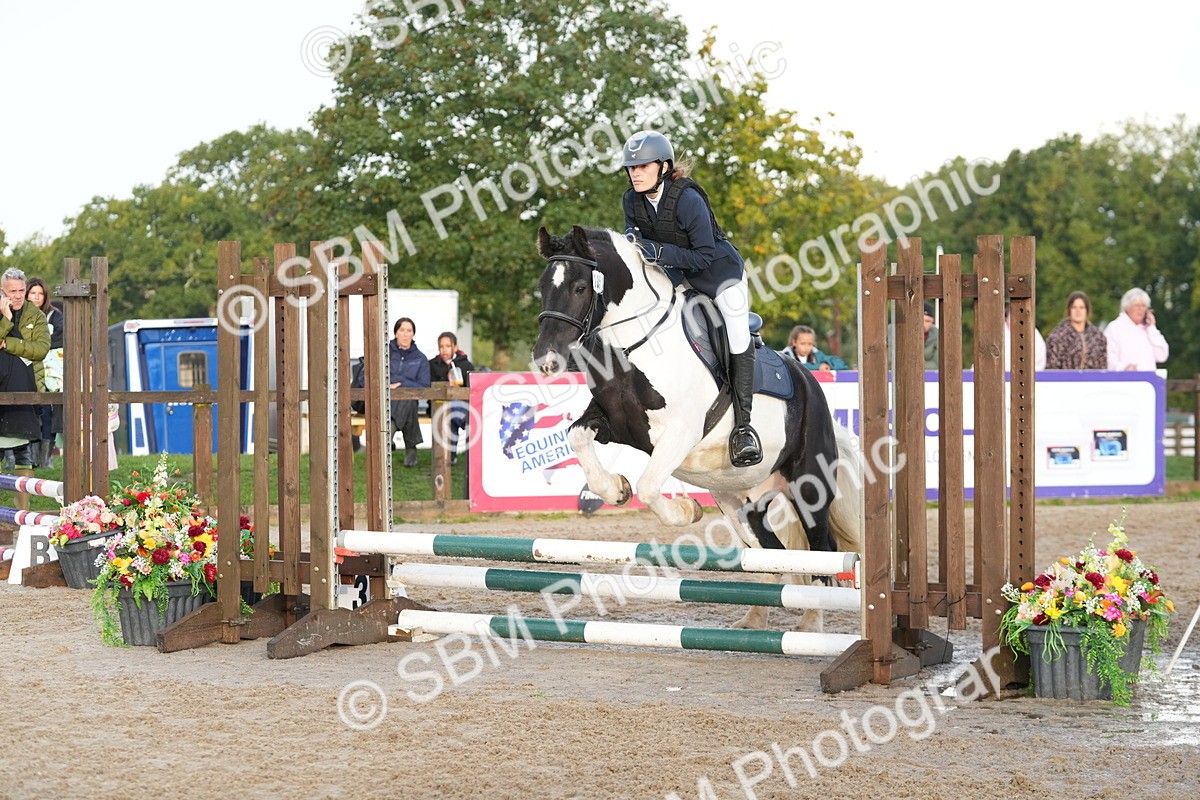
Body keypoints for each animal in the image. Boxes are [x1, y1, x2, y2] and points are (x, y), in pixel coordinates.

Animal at [531, 225, 863, 630]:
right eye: (542, 286)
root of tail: (808, 380)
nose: (545, 360)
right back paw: (753, 622)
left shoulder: (680, 432)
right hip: (741, 502)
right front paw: (616, 489)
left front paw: (687, 511)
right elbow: (579, 437)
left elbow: (649, 485)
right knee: (770, 552)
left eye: (580, 287)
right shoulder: (612, 423)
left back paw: (810, 624)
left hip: (809, 483)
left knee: (821, 551)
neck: (635, 345)